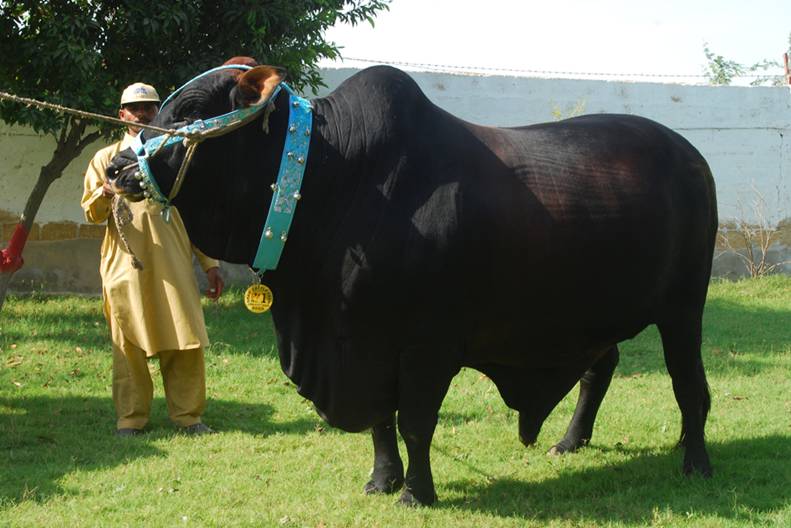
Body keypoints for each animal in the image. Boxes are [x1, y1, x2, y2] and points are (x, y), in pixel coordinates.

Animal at [108, 64, 720, 506]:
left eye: (190, 110)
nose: (116, 169)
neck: (337, 182)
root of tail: (691, 155)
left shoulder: (428, 345)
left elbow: (415, 421)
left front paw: (416, 493)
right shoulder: (366, 343)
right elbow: (383, 424)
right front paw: (382, 481)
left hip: (684, 306)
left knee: (689, 385)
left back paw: (696, 462)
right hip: (595, 314)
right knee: (601, 364)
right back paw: (570, 441)